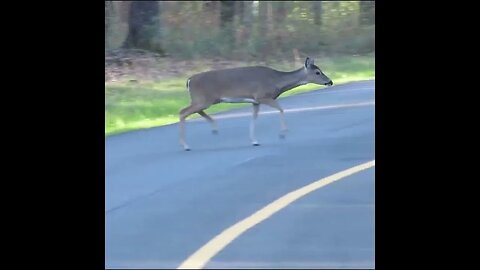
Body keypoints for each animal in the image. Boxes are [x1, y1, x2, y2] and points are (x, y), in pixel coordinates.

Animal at [178, 57, 332, 151]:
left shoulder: (255, 101)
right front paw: (282, 133)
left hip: (203, 100)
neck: (276, 82)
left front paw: (254, 141)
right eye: (317, 72)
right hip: (203, 99)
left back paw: (214, 129)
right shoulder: (263, 96)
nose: (330, 81)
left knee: (192, 111)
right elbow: (281, 109)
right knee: (182, 112)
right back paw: (186, 146)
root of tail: (189, 80)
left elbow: (253, 117)